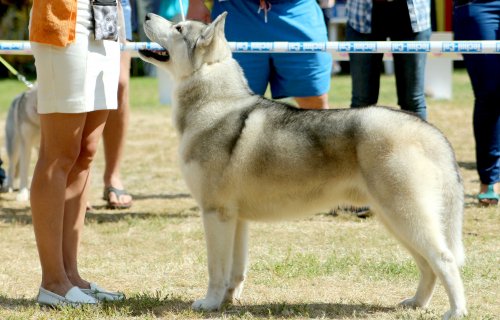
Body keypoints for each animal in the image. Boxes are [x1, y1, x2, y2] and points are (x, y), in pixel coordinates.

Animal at [139, 13, 466, 320]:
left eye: (179, 28)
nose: (146, 16)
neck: (213, 102)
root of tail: (428, 130)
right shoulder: (236, 218)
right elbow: (236, 270)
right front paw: (228, 301)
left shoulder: (214, 213)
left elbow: (215, 269)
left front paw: (209, 303)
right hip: (394, 220)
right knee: (428, 266)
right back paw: (417, 303)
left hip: (405, 216)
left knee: (444, 259)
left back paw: (457, 311)